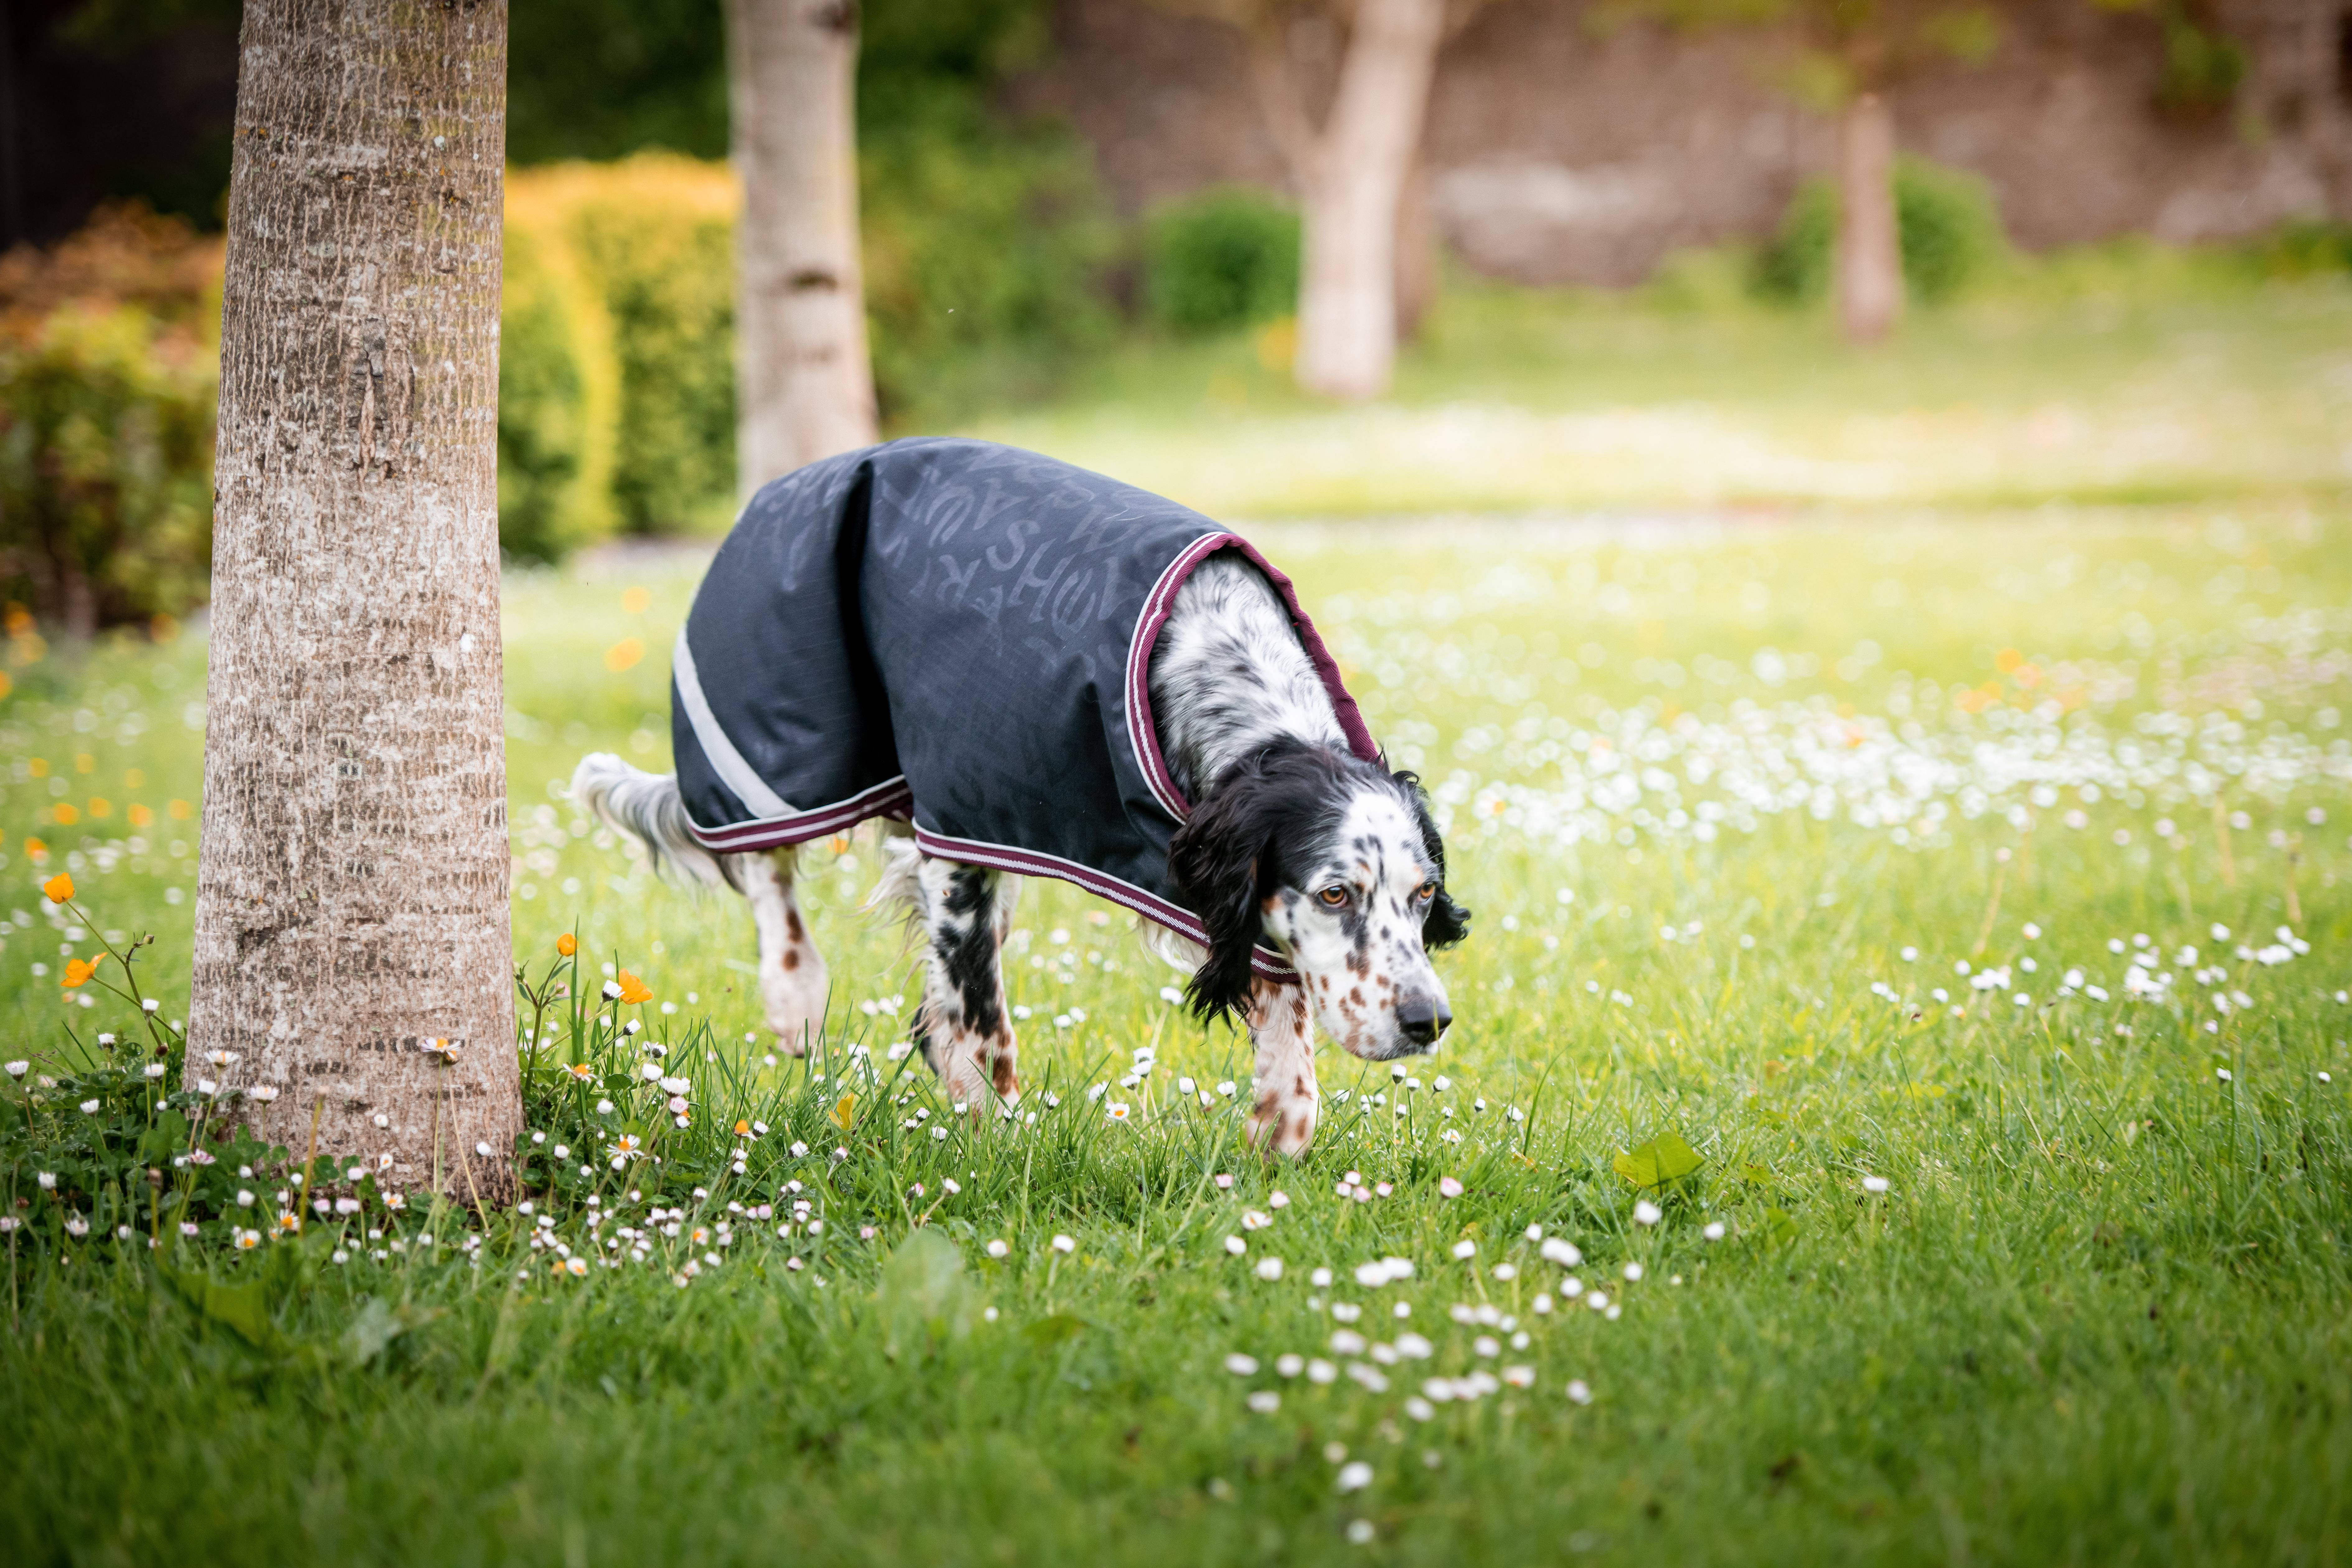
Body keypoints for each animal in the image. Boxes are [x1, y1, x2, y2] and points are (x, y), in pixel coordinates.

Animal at [579, 435, 1458, 1161]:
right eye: (1336, 893)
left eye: (1424, 896)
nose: (1429, 1021)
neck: (1215, 662)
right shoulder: (961, 835)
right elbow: (979, 1023)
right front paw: (994, 1136)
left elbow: (1283, 1021)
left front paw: (1280, 1120)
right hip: (787, 750)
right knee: (768, 866)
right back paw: (795, 992)